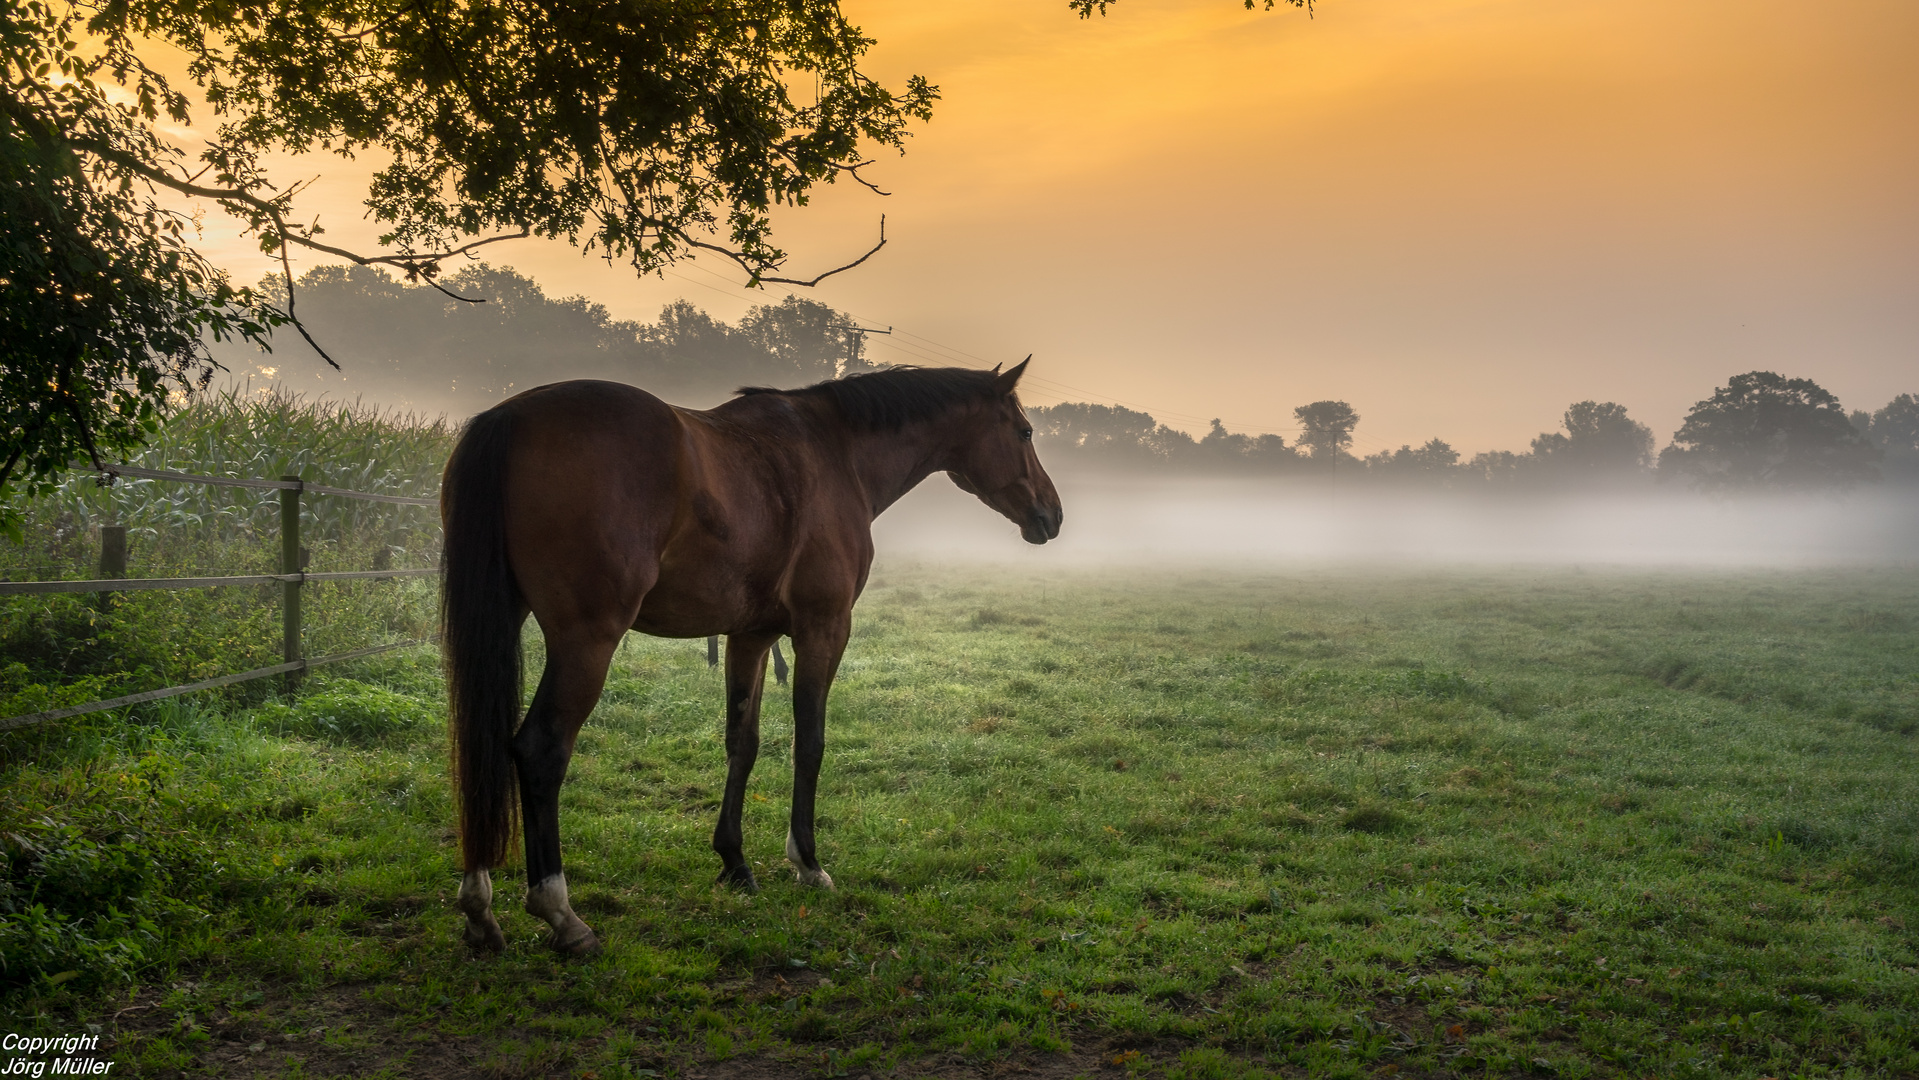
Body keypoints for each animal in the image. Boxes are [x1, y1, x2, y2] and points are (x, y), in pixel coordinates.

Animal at [439, 358, 1066, 951]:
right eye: (1025, 431)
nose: (1052, 515)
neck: (837, 452)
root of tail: (509, 418)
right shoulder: (824, 629)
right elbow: (809, 742)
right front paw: (807, 862)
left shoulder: (751, 636)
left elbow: (742, 742)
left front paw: (734, 862)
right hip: (586, 640)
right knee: (540, 749)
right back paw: (562, 914)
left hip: (505, 617)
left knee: (483, 741)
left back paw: (479, 910)